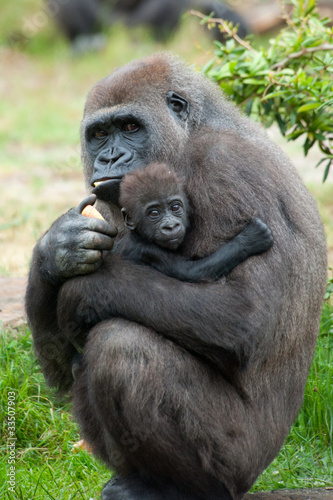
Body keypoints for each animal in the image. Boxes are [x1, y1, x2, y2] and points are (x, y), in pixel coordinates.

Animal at [115, 163, 272, 282]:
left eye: (175, 207)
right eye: (154, 213)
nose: (171, 226)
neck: (138, 234)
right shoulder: (146, 250)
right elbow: (190, 271)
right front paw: (249, 240)